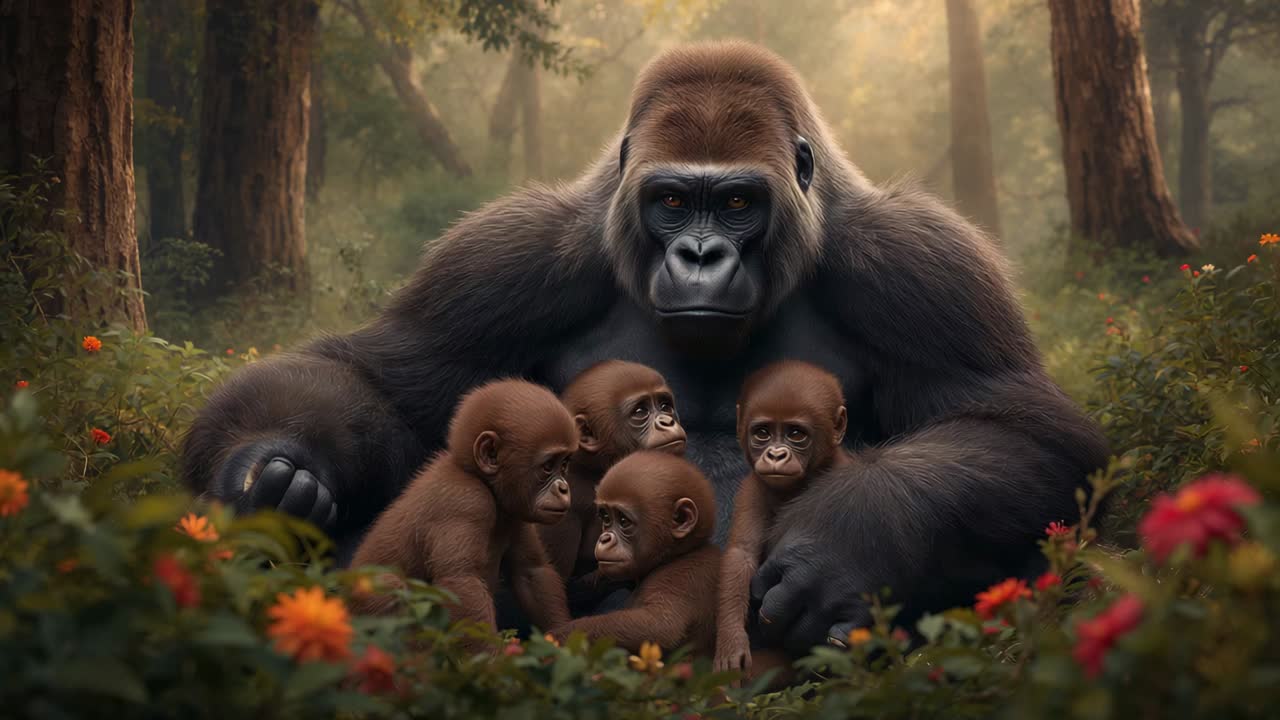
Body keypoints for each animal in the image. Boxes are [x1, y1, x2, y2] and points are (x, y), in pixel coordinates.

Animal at [349, 379, 575, 638]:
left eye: (564, 464)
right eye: (548, 466)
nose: (563, 488)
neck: (477, 477)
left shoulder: (514, 512)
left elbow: (532, 571)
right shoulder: (467, 502)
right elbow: (461, 582)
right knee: (390, 587)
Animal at [548, 451, 719, 655]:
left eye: (623, 521)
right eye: (606, 517)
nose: (604, 538)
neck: (678, 554)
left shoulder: (681, 576)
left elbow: (661, 627)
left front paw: (555, 639)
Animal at [714, 360, 848, 676]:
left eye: (796, 434)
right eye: (762, 432)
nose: (775, 455)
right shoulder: (752, 488)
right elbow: (741, 554)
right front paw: (730, 639)